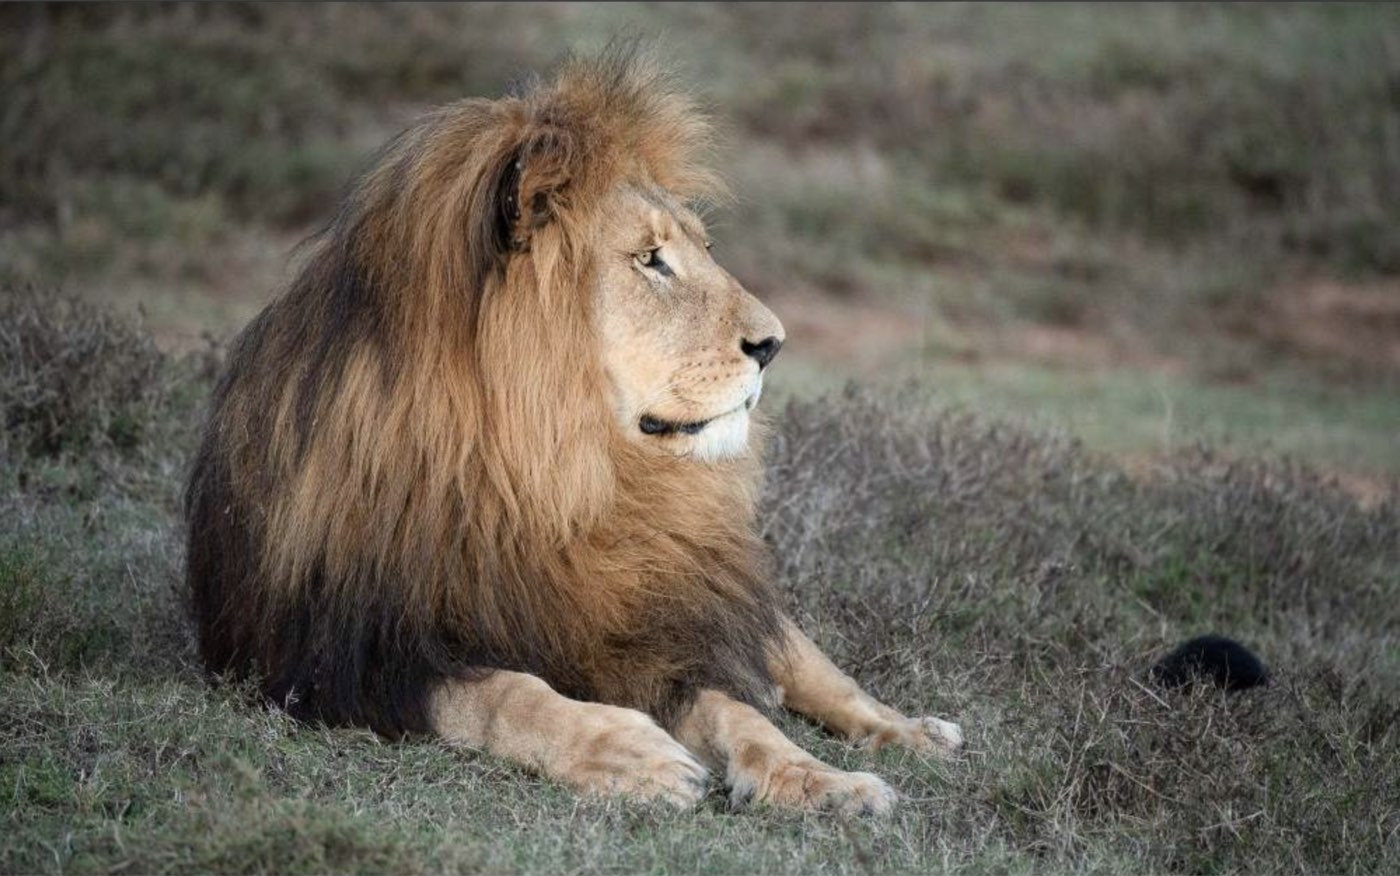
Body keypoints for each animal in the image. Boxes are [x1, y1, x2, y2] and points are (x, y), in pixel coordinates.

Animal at [185, 50, 962, 815]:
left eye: (703, 248)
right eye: (651, 259)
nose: (773, 344)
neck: (540, 473)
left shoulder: (641, 633)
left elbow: (737, 713)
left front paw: (818, 779)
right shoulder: (340, 661)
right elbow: (507, 694)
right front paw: (631, 753)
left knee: (813, 671)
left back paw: (915, 733)